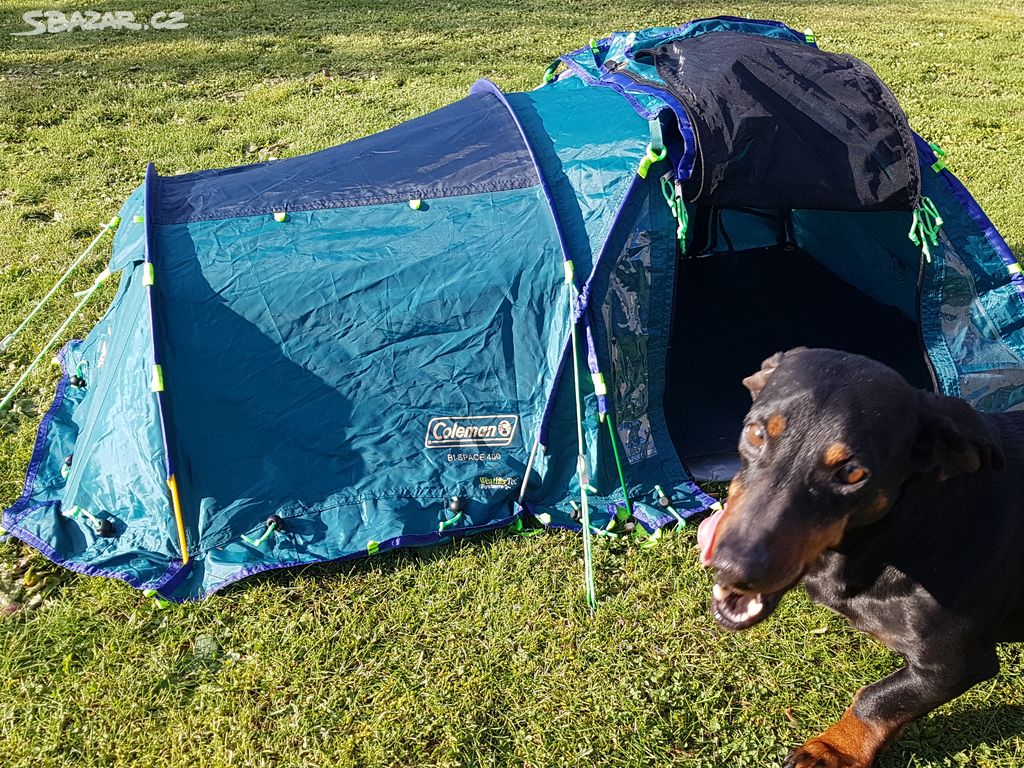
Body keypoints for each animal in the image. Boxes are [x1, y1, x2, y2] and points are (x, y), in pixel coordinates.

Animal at [696, 350, 1024, 768]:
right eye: (756, 434)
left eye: (852, 473)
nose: (733, 569)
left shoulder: (956, 662)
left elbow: (876, 699)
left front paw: (830, 750)